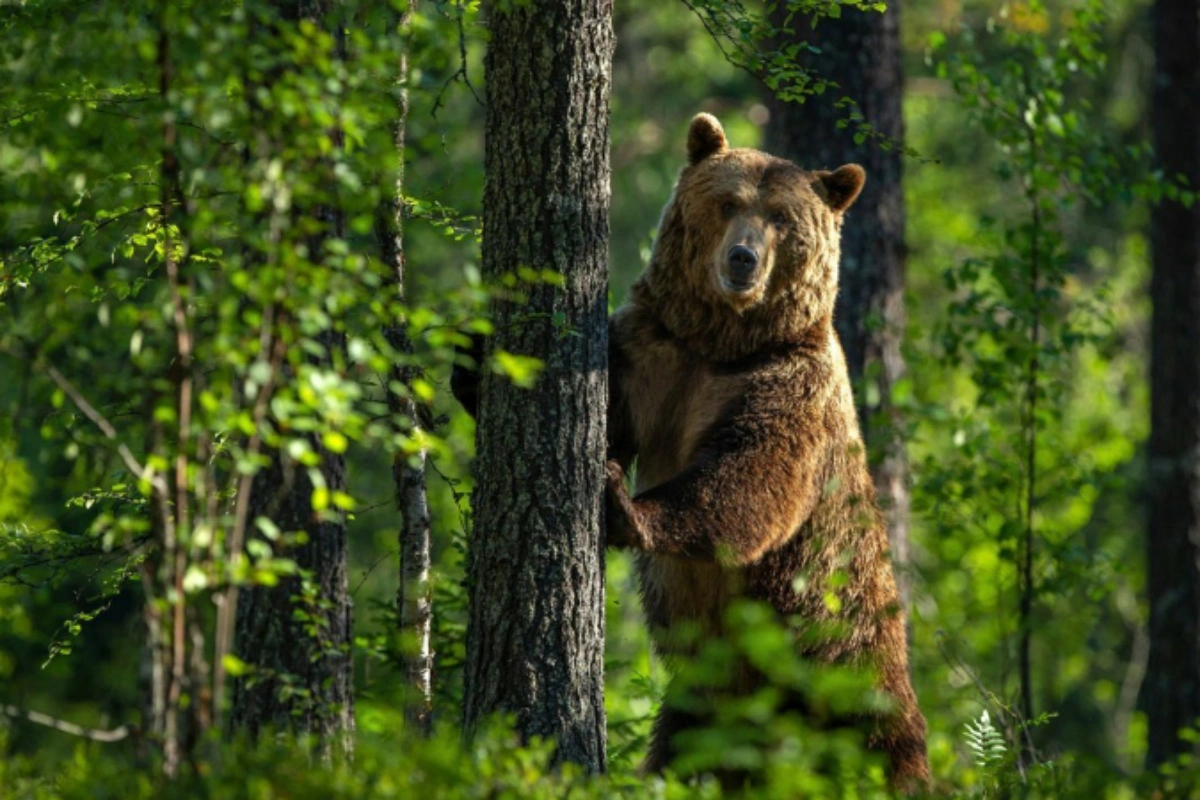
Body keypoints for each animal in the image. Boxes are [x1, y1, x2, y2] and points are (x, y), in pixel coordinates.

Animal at [604, 113, 931, 796]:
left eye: (782, 217)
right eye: (728, 202)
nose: (742, 258)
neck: (725, 343)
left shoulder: (789, 386)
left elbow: (751, 479)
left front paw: (625, 504)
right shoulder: (656, 350)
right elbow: (611, 403)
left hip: (845, 668)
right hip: (705, 710)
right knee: (679, 754)